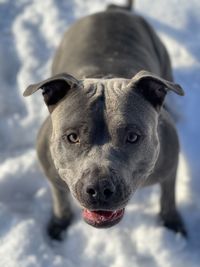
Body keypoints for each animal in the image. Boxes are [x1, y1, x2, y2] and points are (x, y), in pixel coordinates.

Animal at [23, 0, 188, 242]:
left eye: (133, 137)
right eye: (72, 137)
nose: (100, 189)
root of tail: (115, 9)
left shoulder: (169, 166)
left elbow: (168, 196)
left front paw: (172, 221)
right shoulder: (52, 174)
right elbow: (60, 198)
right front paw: (60, 222)